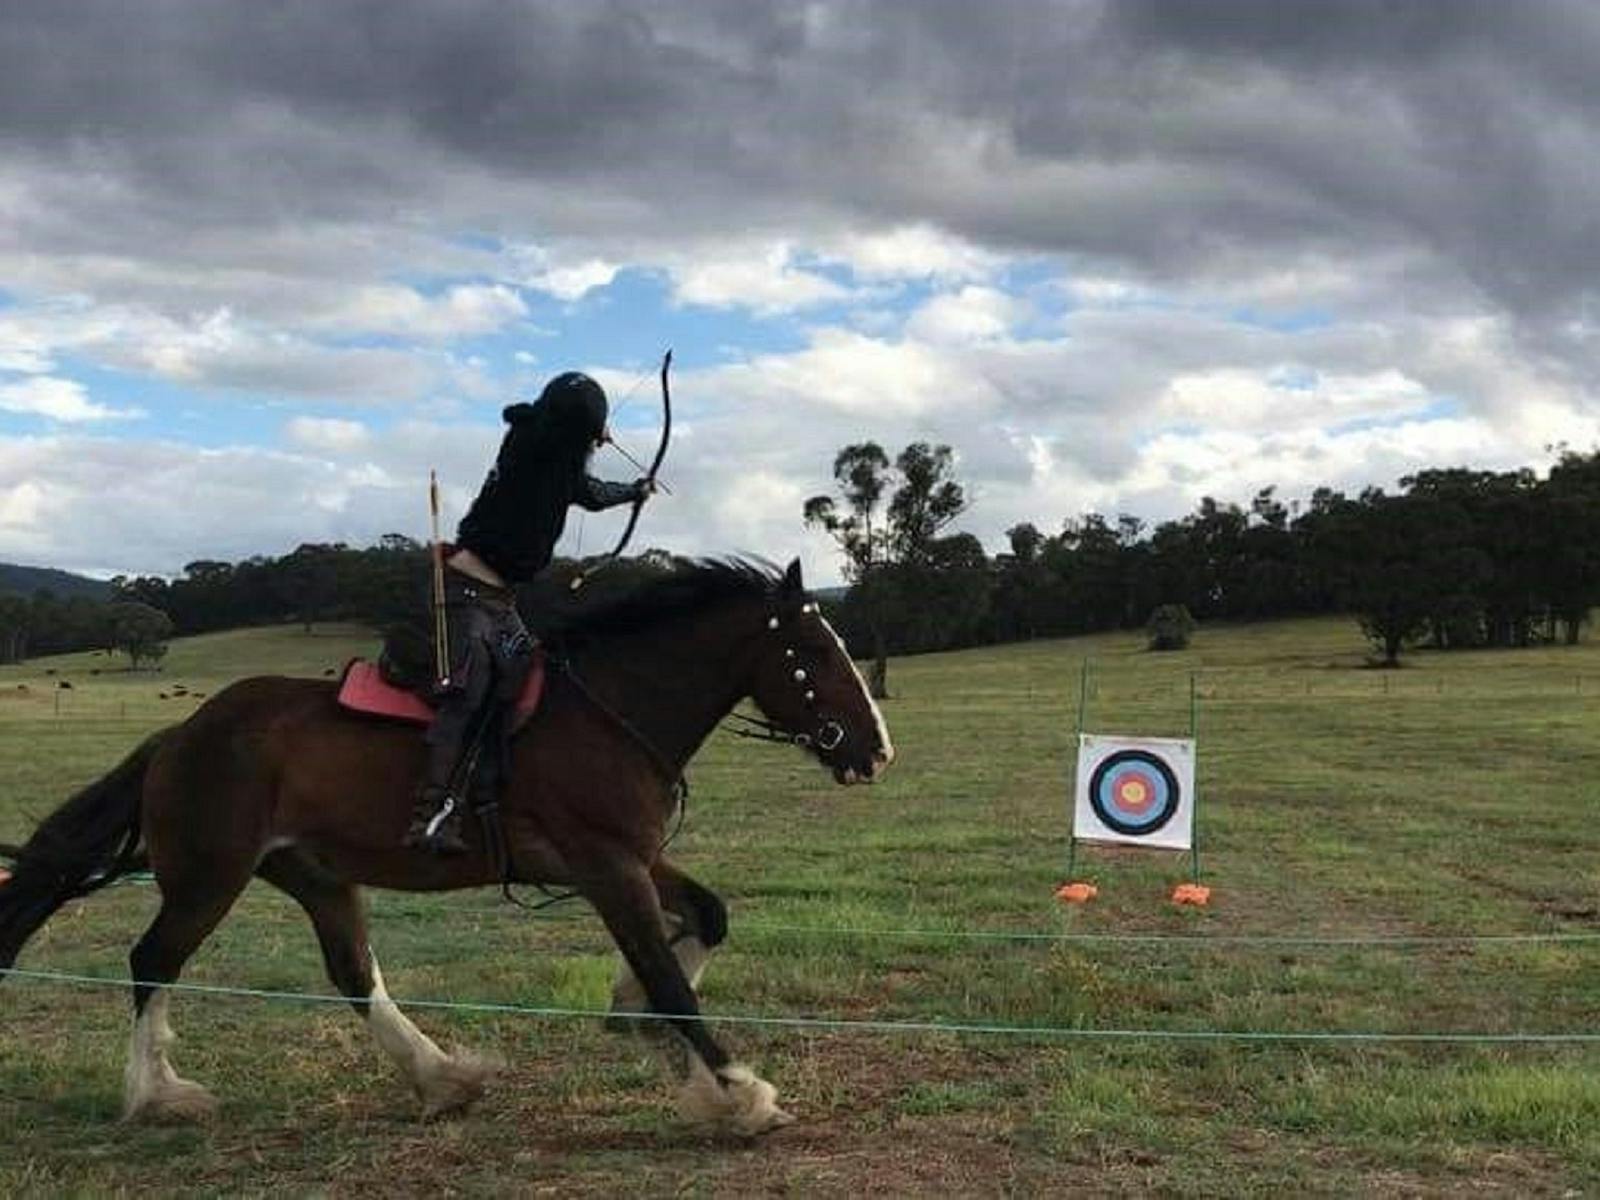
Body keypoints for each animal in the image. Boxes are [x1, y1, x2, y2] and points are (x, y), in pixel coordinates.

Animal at [0, 560, 889, 1132]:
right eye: (814, 653)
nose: (876, 749)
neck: (606, 712)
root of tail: (180, 735)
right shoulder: (608, 867)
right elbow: (672, 976)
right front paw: (738, 1093)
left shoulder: (634, 859)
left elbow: (708, 917)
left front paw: (636, 1019)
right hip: (208, 877)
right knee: (152, 960)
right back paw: (156, 1095)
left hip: (314, 875)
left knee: (352, 973)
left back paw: (441, 1078)